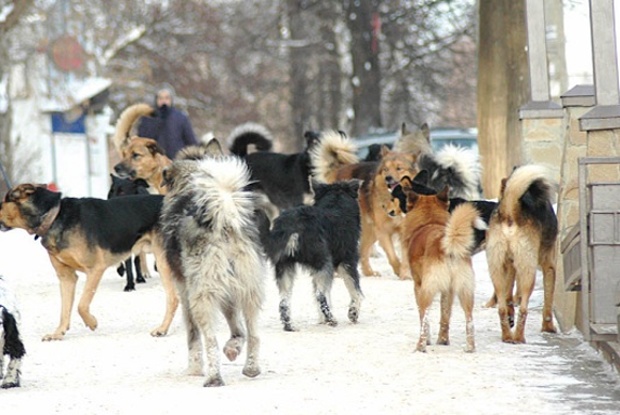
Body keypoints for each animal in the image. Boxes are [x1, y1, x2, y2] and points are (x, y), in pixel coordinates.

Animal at [0, 185, 179, 342]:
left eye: (3, 200)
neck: (54, 216)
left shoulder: (95, 269)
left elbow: (81, 305)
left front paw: (92, 322)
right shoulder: (66, 277)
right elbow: (64, 310)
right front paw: (58, 333)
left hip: (163, 262)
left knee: (173, 299)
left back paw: (162, 329)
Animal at [260, 180, 364, 334]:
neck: (336, 201)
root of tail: (292, 225)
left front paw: (321, 320)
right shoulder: (347, 262)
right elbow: (355, 292)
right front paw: (353, 313)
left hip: (285, 268)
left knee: (284, 302)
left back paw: (289, 326)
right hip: (324, 263)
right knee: (320, 296)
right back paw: (331, 320)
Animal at [402, 187, 484, 352]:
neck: (429, 221)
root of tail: (448, 244)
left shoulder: (418, 286)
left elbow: (424, 318)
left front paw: (429, 341)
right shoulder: (448, 290)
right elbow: (445, 315)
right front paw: (443, 340)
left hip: (427, 289)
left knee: (424, 317)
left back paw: (420, 346)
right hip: (465, 291)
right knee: (469, 320)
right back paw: (469, 347)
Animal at [486, 166, 560, 344]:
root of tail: (511, 210)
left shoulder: (511, 266)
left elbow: (508, 297)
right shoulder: (549, 267)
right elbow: (548, 301)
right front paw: (548, 327)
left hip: (497, 270)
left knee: (501, 308)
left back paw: (507, 336)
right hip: (529, 273)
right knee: (524, 309)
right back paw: (519, 338)